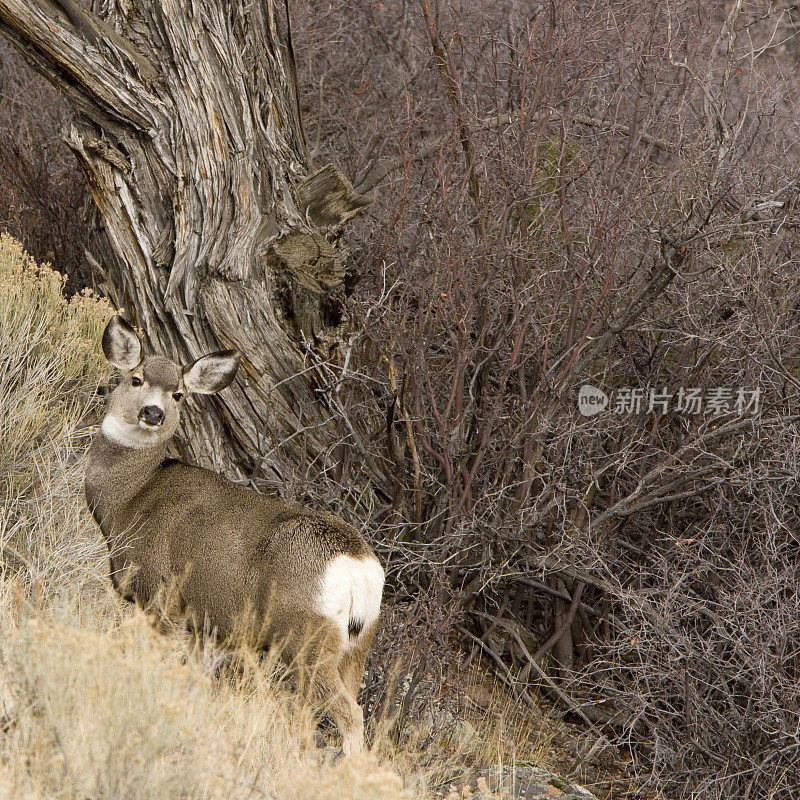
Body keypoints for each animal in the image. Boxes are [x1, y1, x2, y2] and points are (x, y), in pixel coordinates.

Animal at [86, 316, 386, 752]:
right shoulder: (204, 627)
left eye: (178, 393)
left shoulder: (162, 598)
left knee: (350, 714)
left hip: (306, 638)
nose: (153, 412)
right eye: (136, 379)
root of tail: (359, 565)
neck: (130, 500)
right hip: (357, 645)